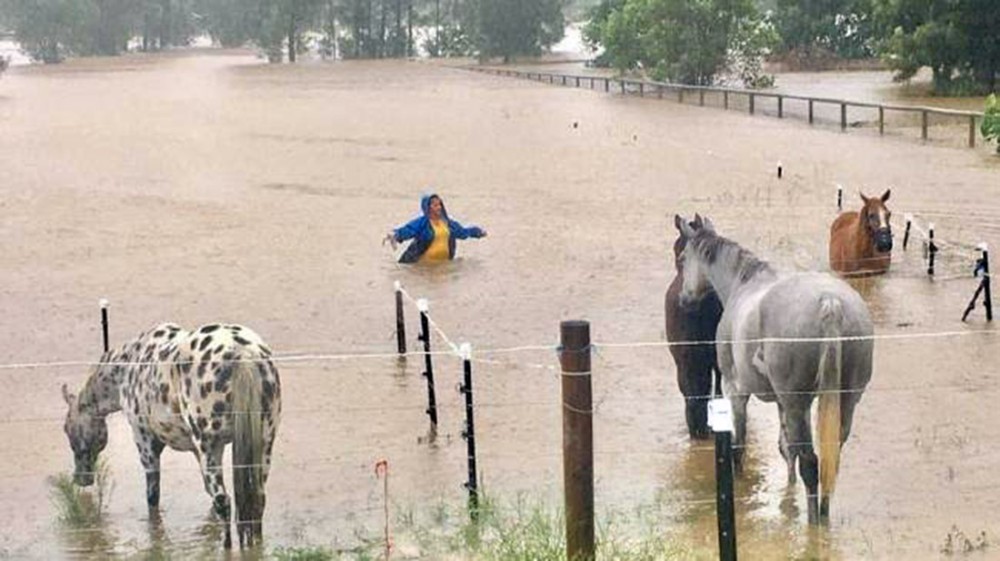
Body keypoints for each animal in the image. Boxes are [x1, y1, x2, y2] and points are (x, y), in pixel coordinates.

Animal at [62, 324, 282, 548]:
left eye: (66, 428)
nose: (80, 478)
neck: (128, 367)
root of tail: (242, 353)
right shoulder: (196, 451)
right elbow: (207, 490)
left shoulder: (146, 445)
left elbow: (153, 497)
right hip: (263, 445)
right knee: (257, 500)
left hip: (211, 447)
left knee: (224, 501)